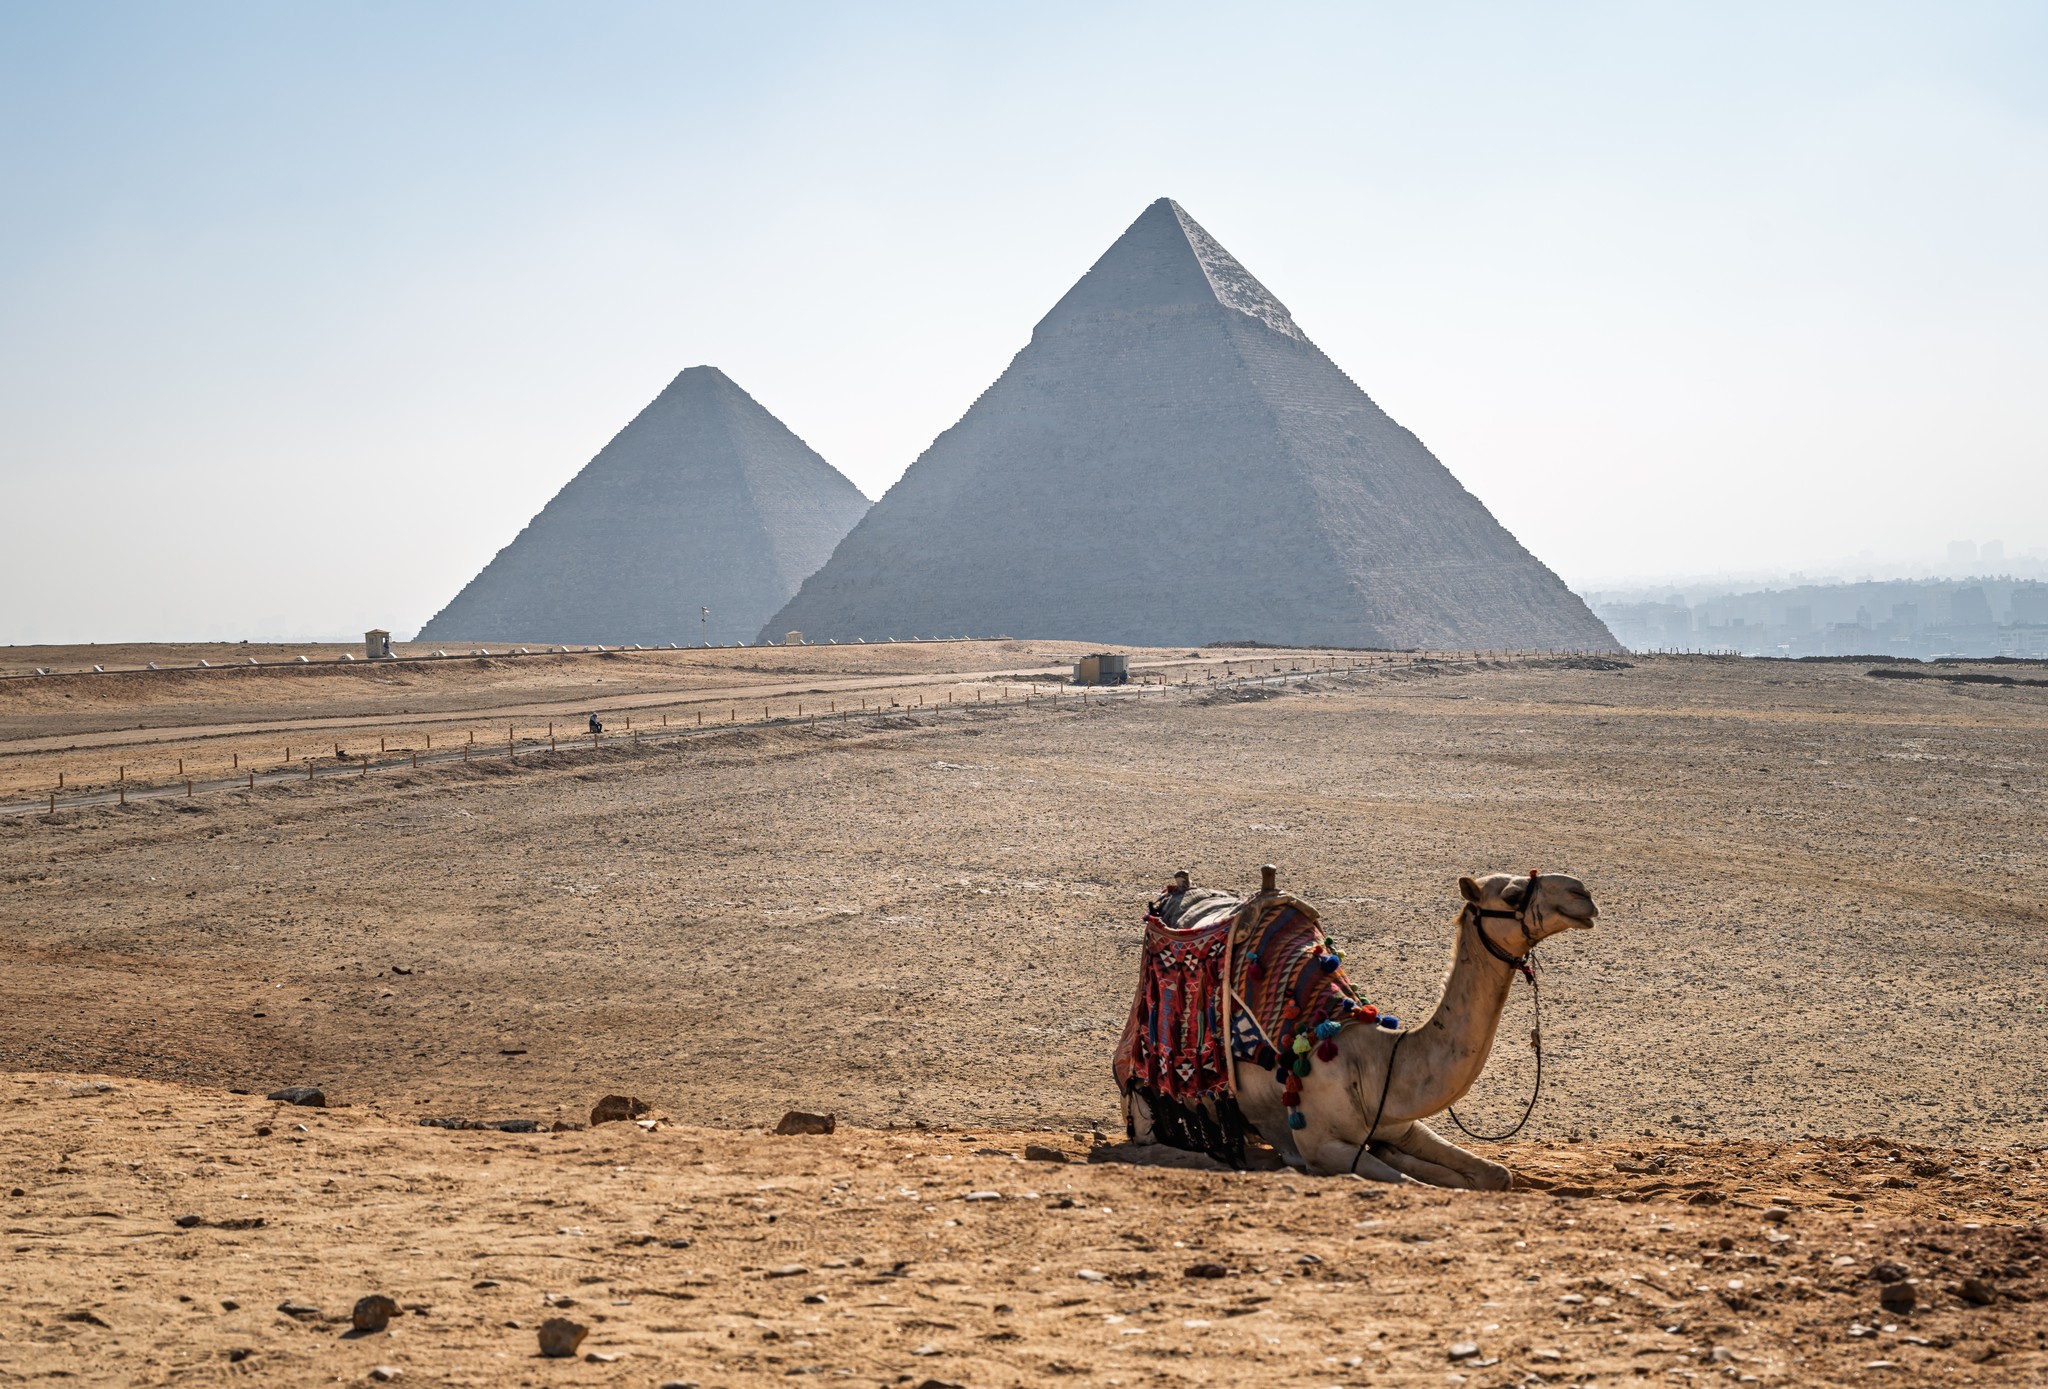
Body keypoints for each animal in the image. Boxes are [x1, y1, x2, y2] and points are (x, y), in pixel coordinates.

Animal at [1123, 867, 1598, 1187]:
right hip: (1144, 1088)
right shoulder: (1324, 1149)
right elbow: (1408, 1182)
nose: (1583, 893)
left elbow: (1497, 1174)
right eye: (1514, 895)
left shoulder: (1399, 1125)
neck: (1376, 1058)